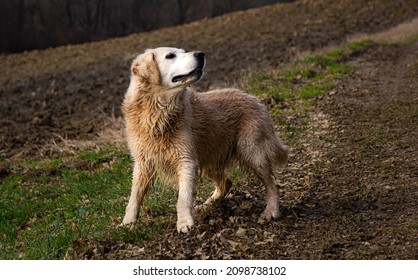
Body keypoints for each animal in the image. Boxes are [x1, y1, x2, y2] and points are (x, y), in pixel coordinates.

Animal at [121, 47, 288, 232]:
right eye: (170, 55)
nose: (200, 54)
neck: (156, 111)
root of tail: (253, 98)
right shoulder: (143, 162)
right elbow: (134, 196)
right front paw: (127, 223)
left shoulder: (186, 160)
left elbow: (183, 197)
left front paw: (184, 222)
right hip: (210, 159)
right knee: (226, 183)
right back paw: (206, 205)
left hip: (252, 152)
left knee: (272, 185)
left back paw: (271, 211)